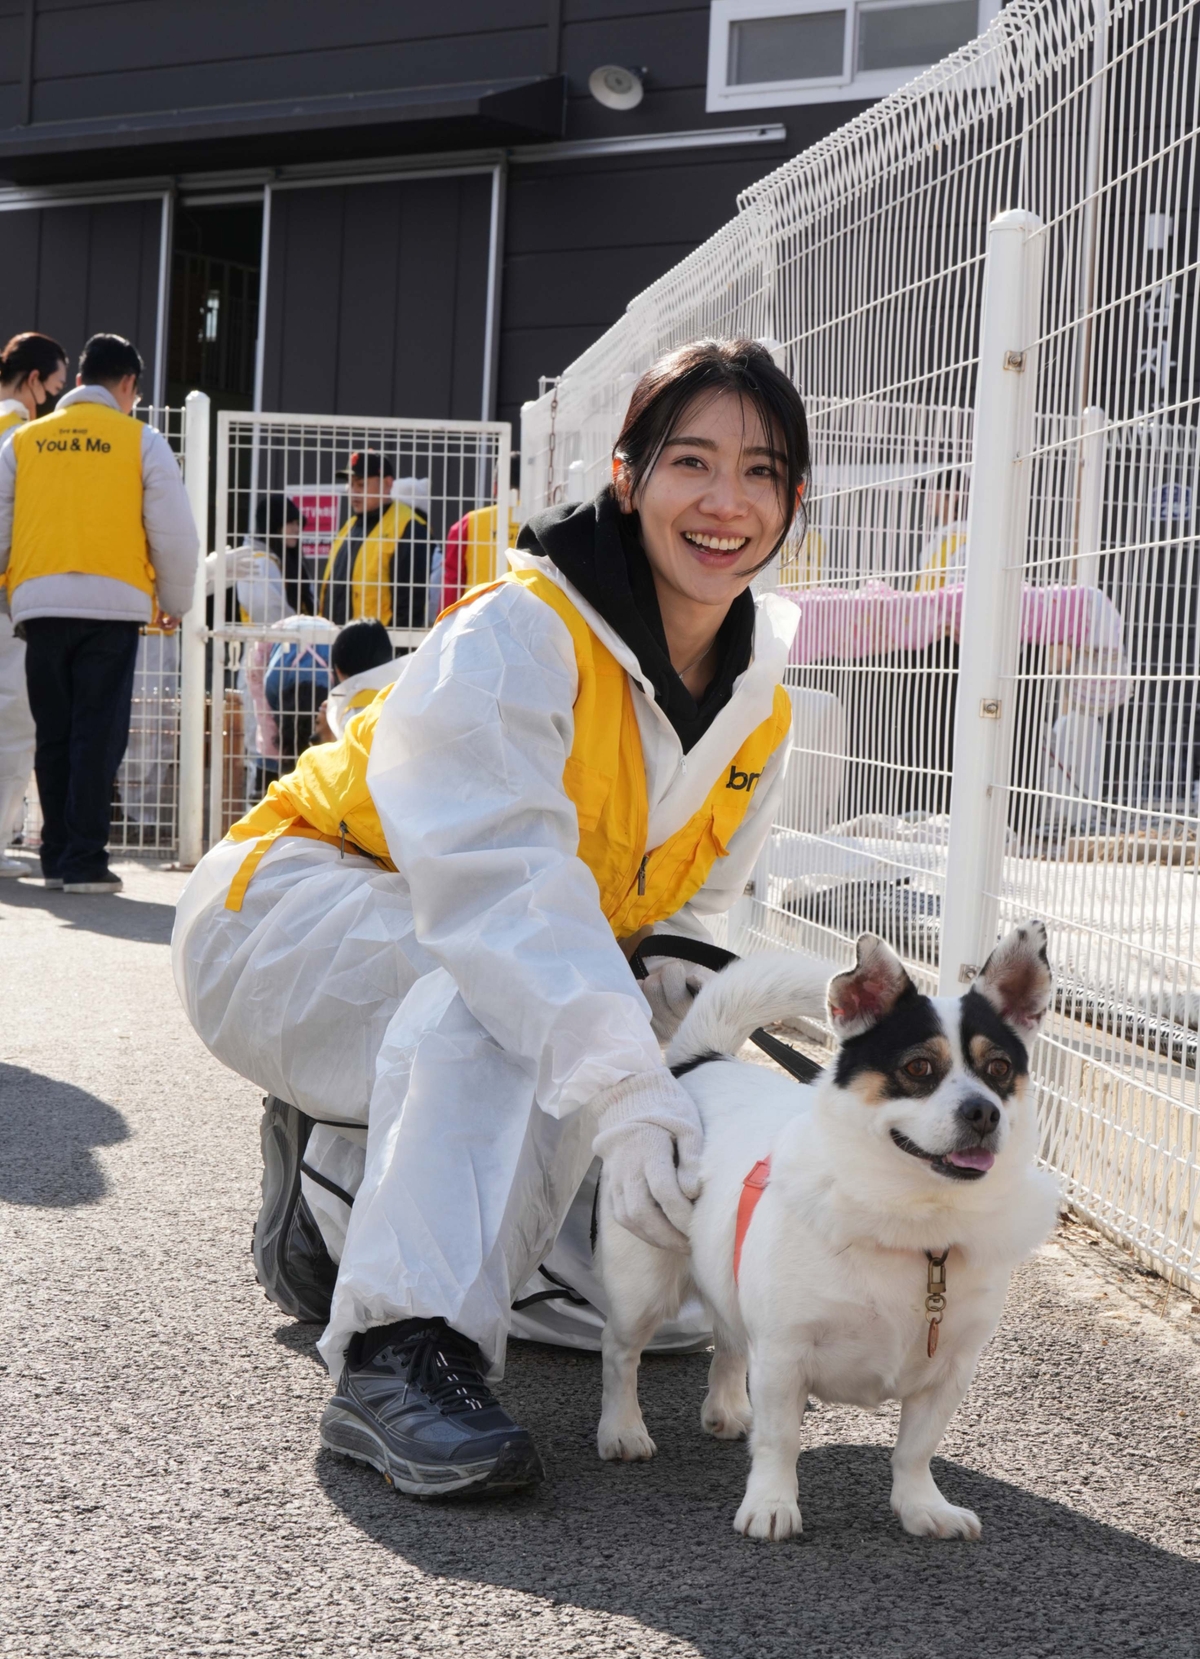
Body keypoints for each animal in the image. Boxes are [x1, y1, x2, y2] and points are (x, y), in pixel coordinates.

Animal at [597, 922, 1055, 1539]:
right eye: (918, 1068)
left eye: (1000, 1069)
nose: (984, 1112)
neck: (917, 1221)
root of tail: (701, 1060)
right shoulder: (784, 1354)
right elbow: (781, 1441)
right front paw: (771, 1505)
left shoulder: (949, 1372)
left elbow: (916, 1449)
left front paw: (922, 1507)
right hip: (641, 1285)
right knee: (621, 1354)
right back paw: (622, 1429)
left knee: (730, 1340)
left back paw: (725, 1410)